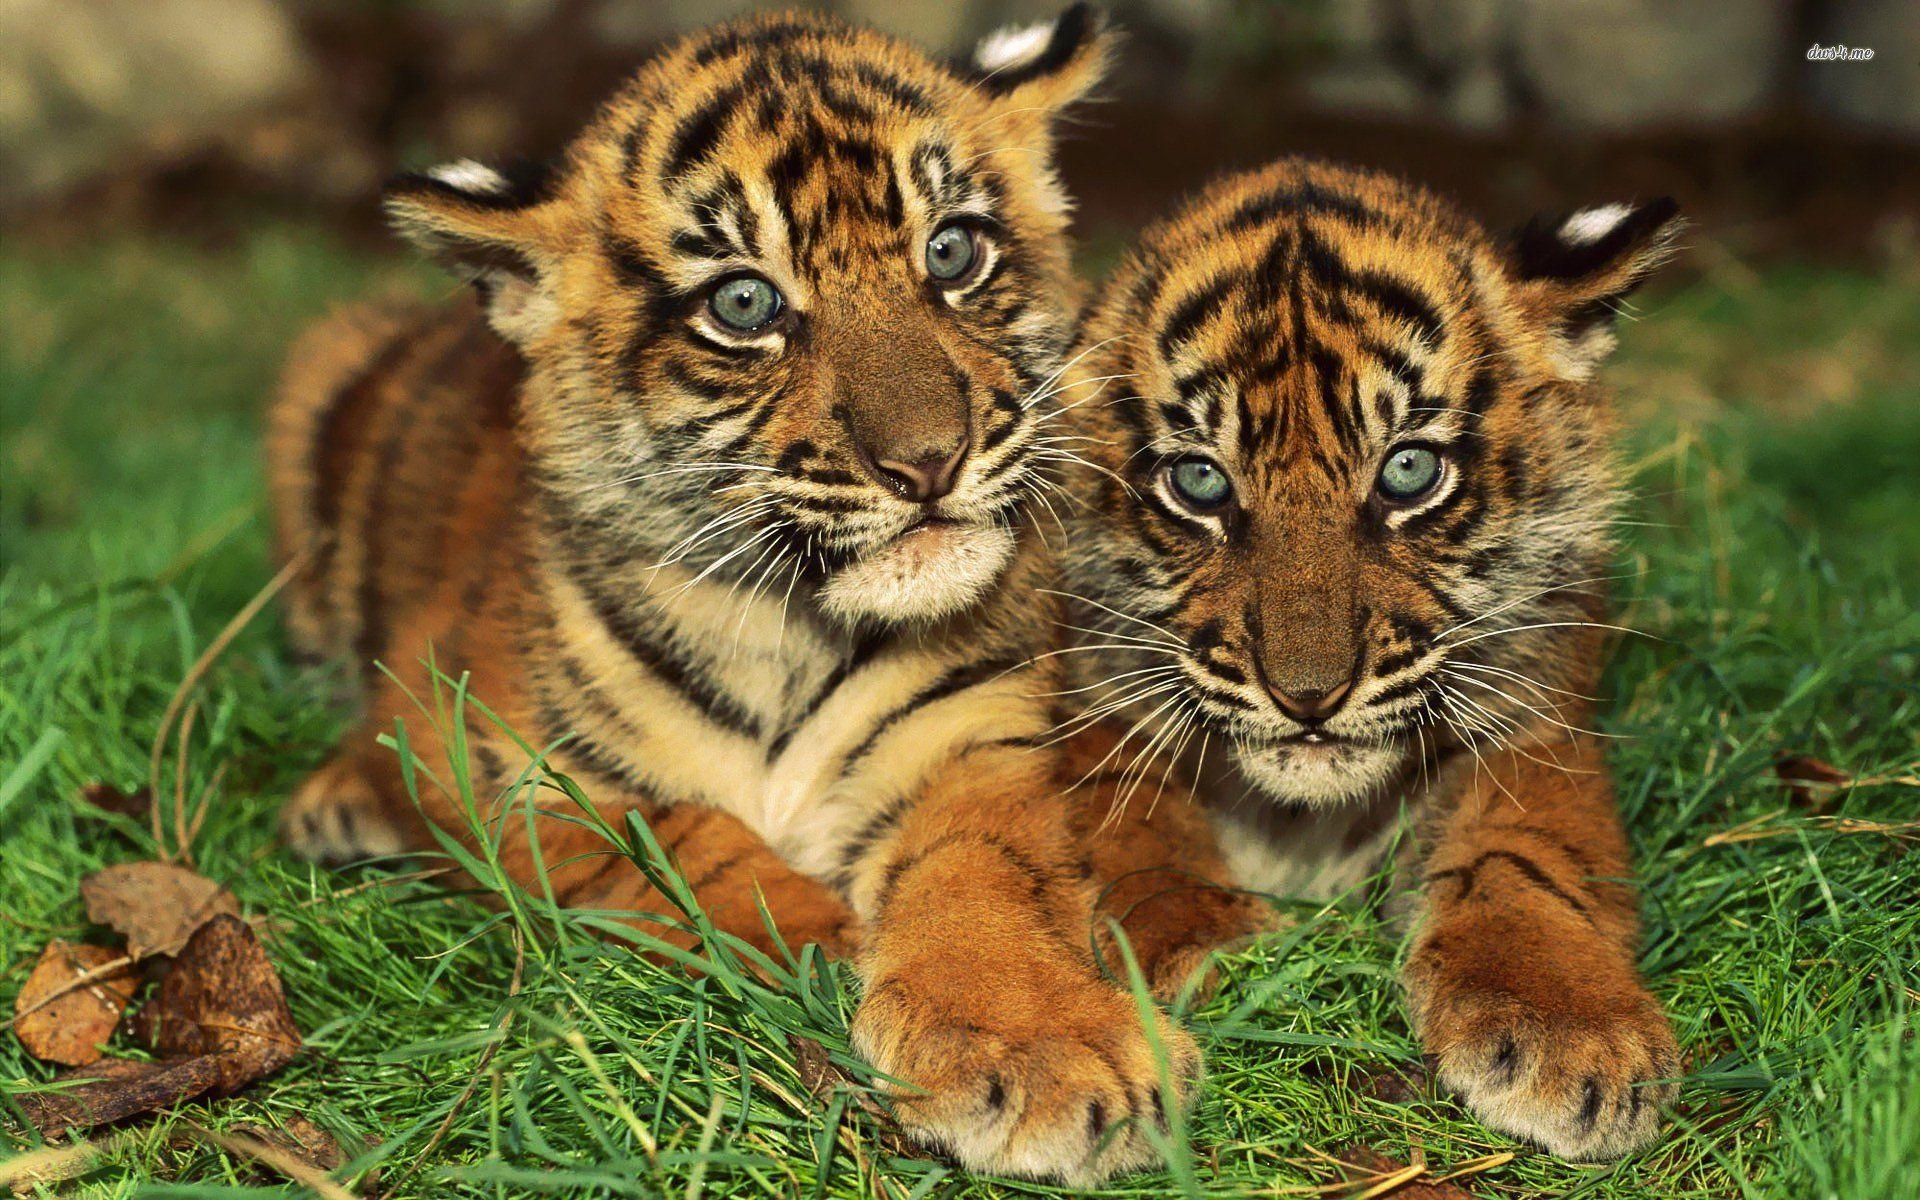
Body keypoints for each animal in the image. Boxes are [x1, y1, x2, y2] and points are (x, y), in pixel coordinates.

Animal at [267, 6, 1211, 1183]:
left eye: (952, 251)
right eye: (745, 302)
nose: (928, 461)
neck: (786, 629)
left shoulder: (972, 740)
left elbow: (982, 877)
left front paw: (1042, 1047)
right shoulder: (487, 754)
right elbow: (676, 836)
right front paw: (818, 937)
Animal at [1054, 157, 1686, 1160]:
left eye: (1408, 471)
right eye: (1199, 481)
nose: (1308, 698)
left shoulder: (1536, 724)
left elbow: (1525, 857)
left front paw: (1572, 1028)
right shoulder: (1093, 712)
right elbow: (1141, 838)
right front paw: (1209, 951)